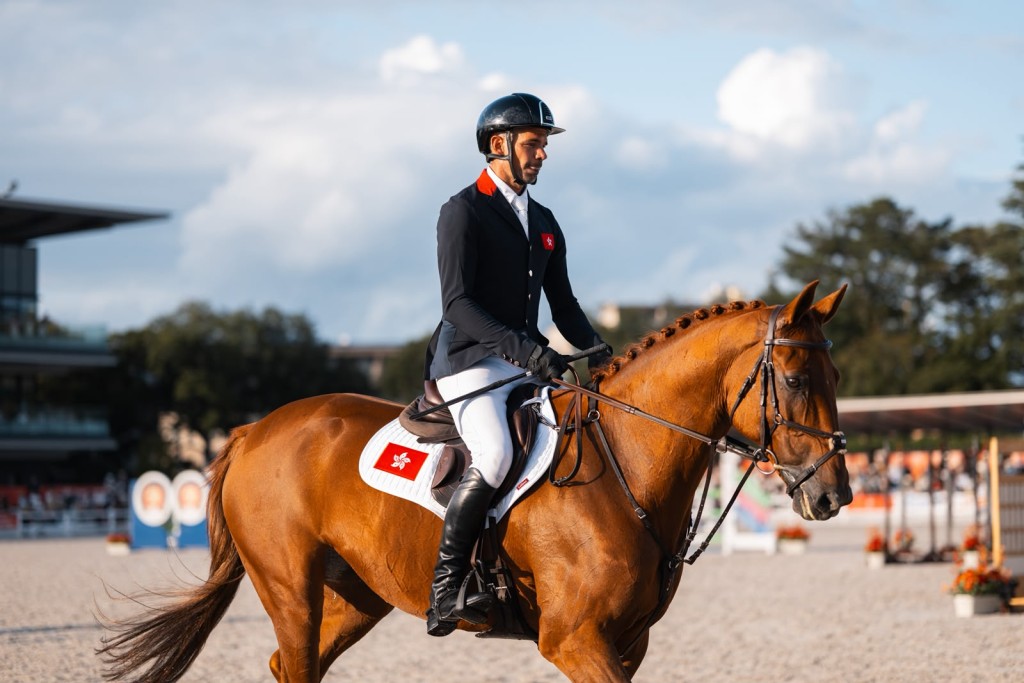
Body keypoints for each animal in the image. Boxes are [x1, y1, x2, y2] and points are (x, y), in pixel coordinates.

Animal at [99, 280, 852, 682]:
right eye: (793, 379)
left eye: (837, 375)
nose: (833, 495)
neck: (624, 465)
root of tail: (255, 429)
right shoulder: (575, 639)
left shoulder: (627, 642)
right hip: (290, 587)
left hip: (357, 597)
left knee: (291, 666)